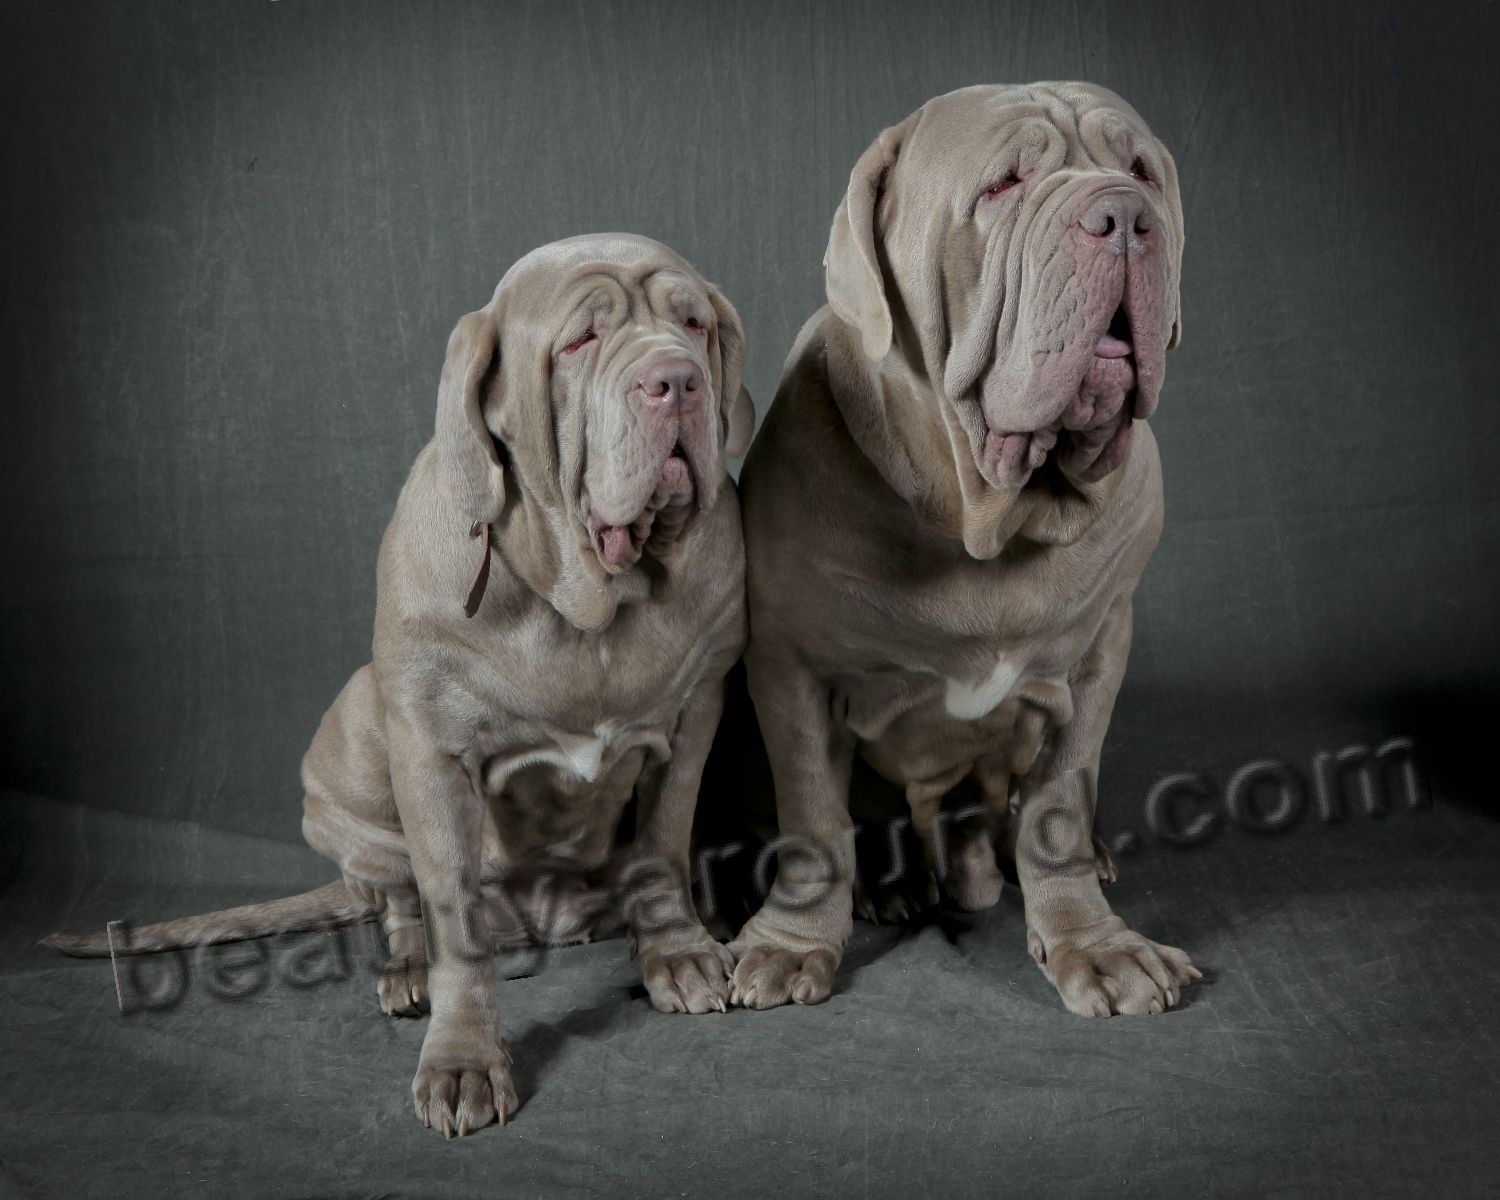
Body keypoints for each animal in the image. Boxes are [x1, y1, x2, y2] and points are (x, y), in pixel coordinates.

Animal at [48, 232, 756, 1134]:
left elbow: (662, 844)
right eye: (580, 342)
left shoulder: (697, 711)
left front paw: (678, 954)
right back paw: (409, 969)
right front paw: (462, 1057)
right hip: (349, 747)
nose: (677, 380)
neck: (587, 598)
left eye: (694, 325)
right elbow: (448, 909)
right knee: (395, 897)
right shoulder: (428, 747)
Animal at [732, 84, 1200, 1020]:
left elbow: (1059, 798)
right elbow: (813, 813)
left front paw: (1094, 944)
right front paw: (791, 943)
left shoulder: (1101, 651)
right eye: (1003, 185)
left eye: (1140, 170)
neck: (987, 515)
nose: (1124, 215)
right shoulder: (790, 667)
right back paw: (888, 888)